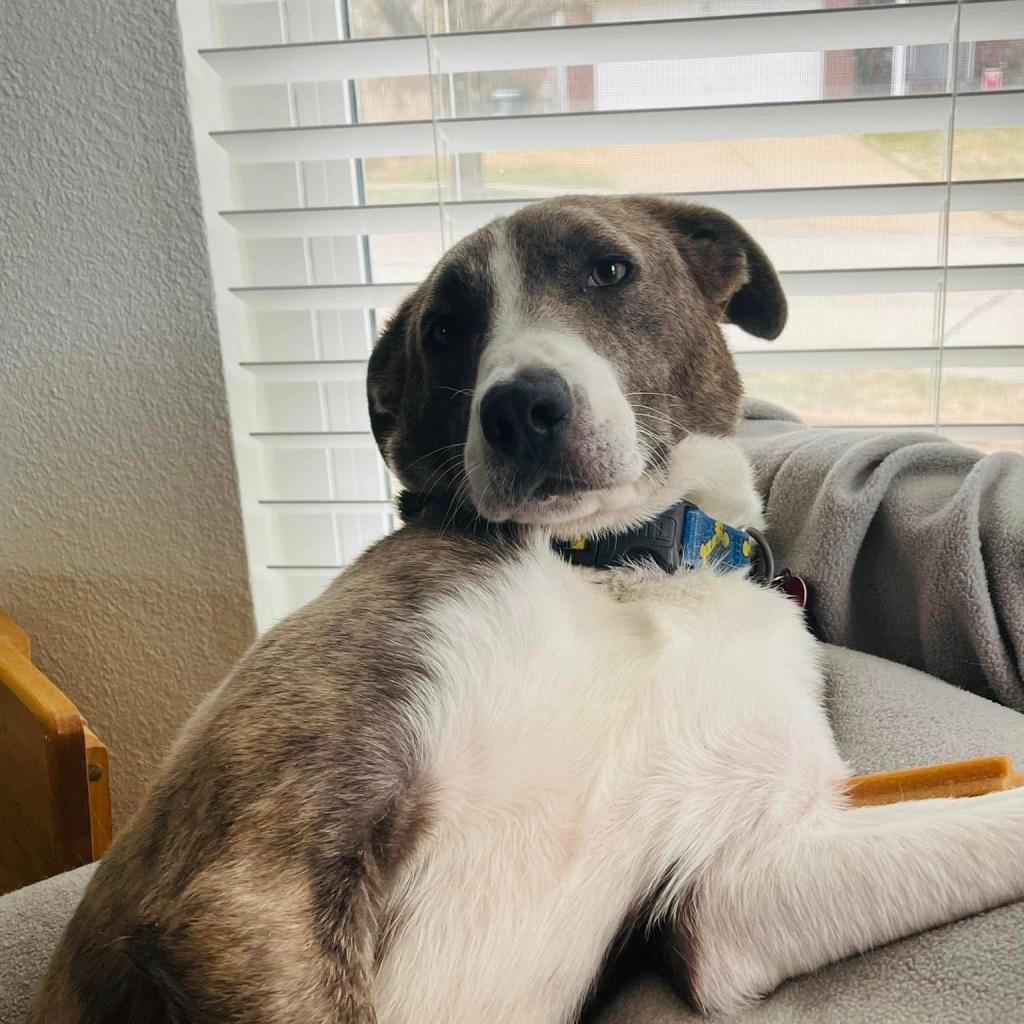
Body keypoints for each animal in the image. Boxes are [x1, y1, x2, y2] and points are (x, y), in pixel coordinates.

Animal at [29, 193, 1024, 1024]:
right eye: (444, 330)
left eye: (611, 270)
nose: (519, 409)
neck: (624, 566)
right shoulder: (251, 890)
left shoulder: (734, 885)